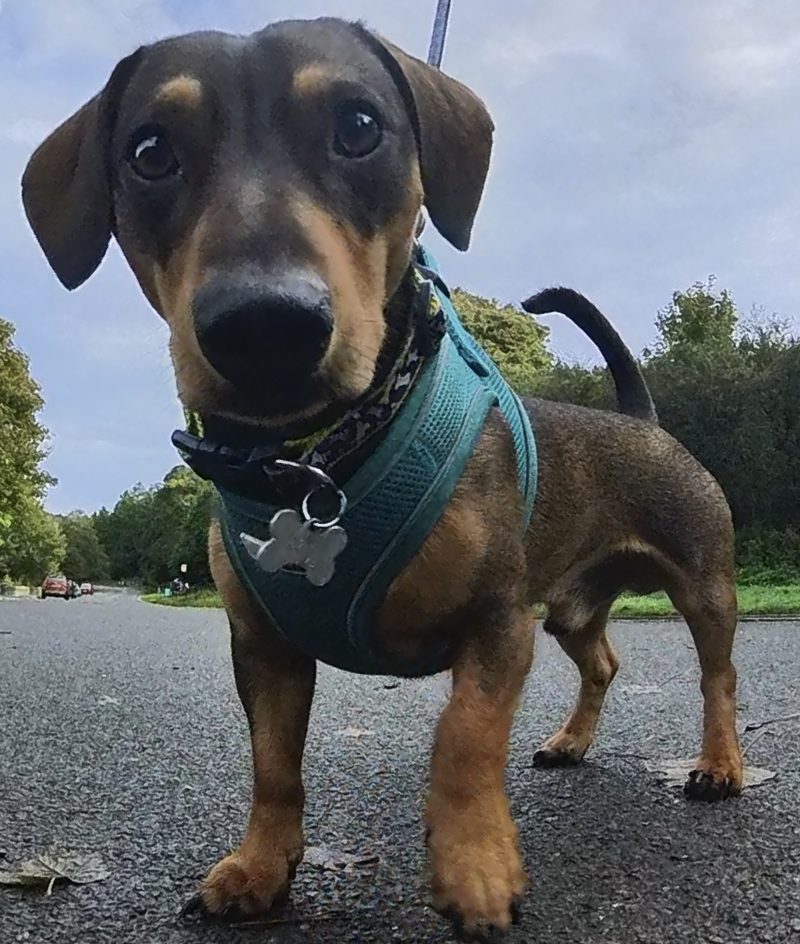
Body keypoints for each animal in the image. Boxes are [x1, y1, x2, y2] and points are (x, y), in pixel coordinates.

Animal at [20, 16, 744, 944]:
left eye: (360, 127)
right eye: (149, 151)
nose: (264, 325)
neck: (319, 459)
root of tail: (643, 420)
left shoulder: (497, 624)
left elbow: (463, 738)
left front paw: (475, 869)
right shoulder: (264, 648)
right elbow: (274, 766)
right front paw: (261, 867)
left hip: (703, 583)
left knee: (717, 677)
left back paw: (719, 764)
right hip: (571, 609)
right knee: (604, 661)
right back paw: (571, 741)